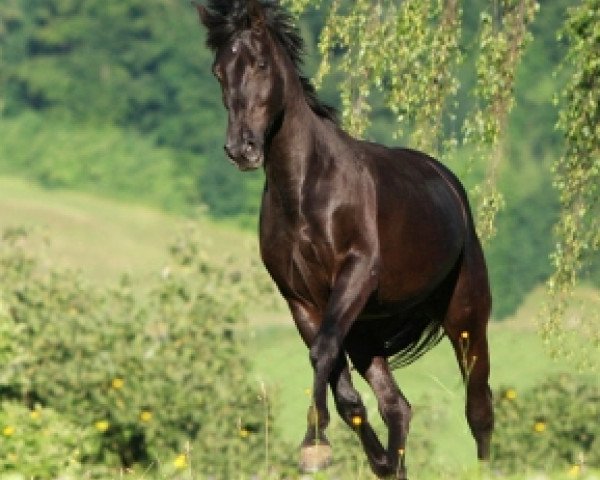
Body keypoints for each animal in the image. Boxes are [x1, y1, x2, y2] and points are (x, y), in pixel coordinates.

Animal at [195, 1, 494, 478]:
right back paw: (391, 462)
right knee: (398, 406)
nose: (242, 149)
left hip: (465, 316)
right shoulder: (302, 299)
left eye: (260, 63)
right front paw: (361, 455)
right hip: (366, 328)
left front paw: (314, 446)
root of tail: (449, 183)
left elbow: (323, 355)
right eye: (218, 70)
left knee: (479, 407)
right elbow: (343, 387)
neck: (306, 188)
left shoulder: (354, 275)